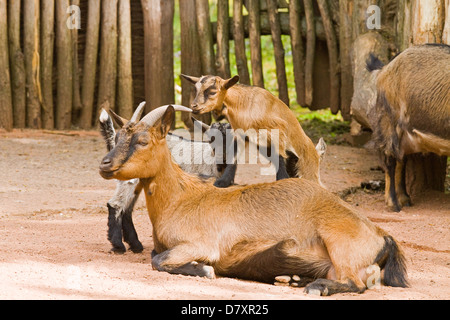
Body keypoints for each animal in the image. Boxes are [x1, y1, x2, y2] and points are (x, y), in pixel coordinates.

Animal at [98, 104, 408, 296]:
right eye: (120, 137)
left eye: (143, 141)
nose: (105, 164)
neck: (181, 198)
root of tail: (381, 235)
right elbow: (155, 255)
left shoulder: (201, 244)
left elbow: (159, 260)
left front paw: (203, 269)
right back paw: (292, 278)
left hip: (339, 242)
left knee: (355, 282)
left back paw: (314, 286)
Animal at [368, 43, 450, 211]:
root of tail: (386, 67)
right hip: (390, 121)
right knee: (390, 159)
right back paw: (393, 203)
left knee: (401, 159)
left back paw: (404, 199)